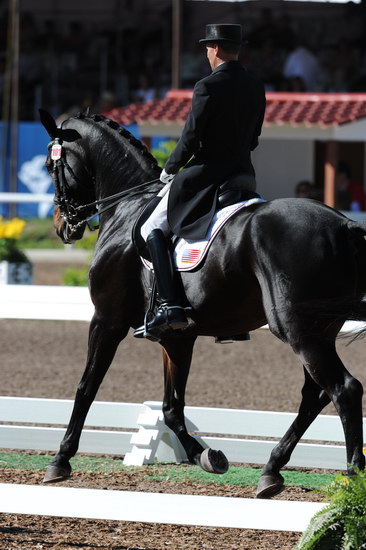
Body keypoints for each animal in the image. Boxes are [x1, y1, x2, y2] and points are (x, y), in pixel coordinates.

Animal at [40, 111, 366, 500]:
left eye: (50, 165)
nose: (63, 227)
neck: (127, 208)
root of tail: (342, 223)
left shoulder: (107, 319)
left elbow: (86, 387)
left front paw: (60, 460)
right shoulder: (176, 337)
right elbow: (171, 408)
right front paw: (207, 456)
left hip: (297, 329)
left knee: (343, 389)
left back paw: (352, 477)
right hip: (318, 330)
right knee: (315, 394)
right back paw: (271, 470)